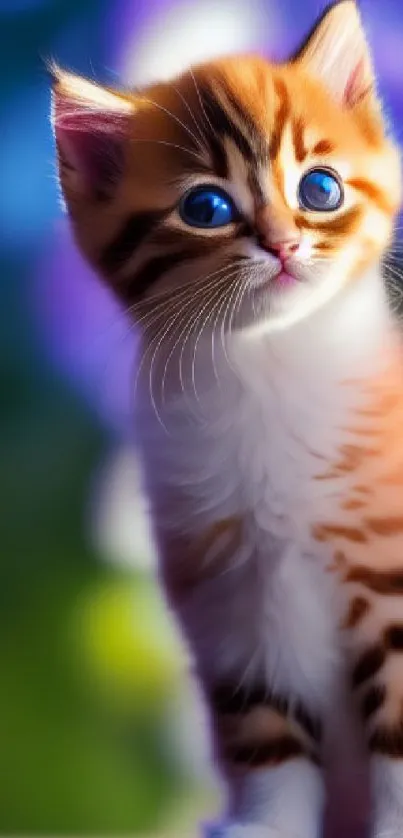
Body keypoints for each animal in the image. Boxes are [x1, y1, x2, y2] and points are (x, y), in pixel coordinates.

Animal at [52, 3, 403, 836]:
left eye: (319, 188)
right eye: (206, 208)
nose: (282, 243)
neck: (269, 365)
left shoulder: (391, 579)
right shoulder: (232, 603)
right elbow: (268, 732)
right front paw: (266, 824)